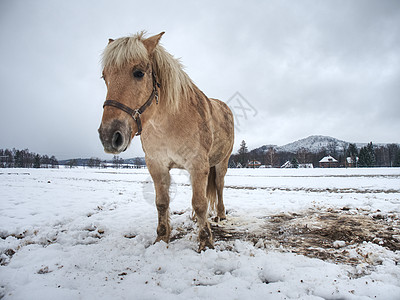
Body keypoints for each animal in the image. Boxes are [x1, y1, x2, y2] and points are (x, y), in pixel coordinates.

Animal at [97, 31, 234, 251]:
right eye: (105, 77)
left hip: (222, 162)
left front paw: (205, 241)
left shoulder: (198, 164)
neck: (170, 122)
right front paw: (162, 238)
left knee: (219, 187)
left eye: (138, 73)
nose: (110, 136)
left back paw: (220, 215)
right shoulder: (157, 165)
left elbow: (200, 203)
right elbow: (162, 203)